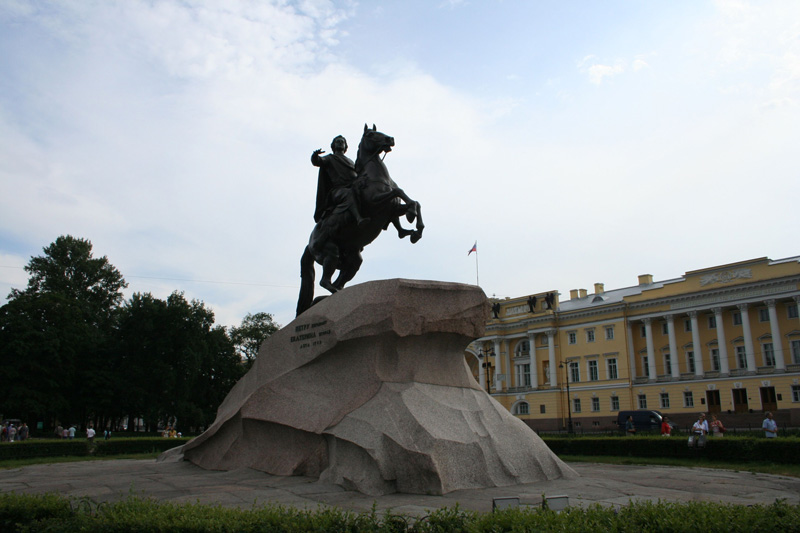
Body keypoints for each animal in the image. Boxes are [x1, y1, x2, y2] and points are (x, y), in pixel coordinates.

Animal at [296, 123, 424, 316]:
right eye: (370, 135)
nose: (390, 139)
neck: (375, 176)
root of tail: (309, 244)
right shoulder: (376, 202)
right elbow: (399, 191)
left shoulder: (391, 209)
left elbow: (414, 202)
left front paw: (415, 228)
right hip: (330, 252)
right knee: (325, 281)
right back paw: (332, 295)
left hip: (352, 260)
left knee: (339, 280)